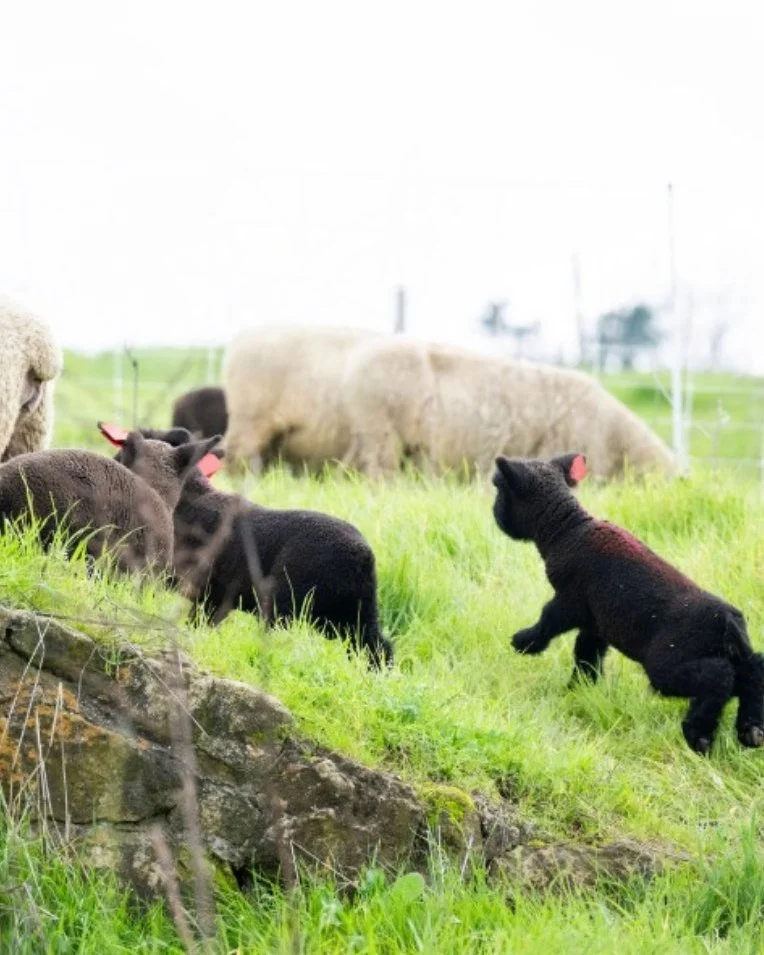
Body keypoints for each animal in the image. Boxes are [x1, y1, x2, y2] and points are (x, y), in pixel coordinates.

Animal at [105, 425, 393, 668]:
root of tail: (362, 554)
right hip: (353, 614)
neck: (189, 500)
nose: (113, 464)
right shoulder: (214, 598)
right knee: (378, 647)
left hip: (287, 607)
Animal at [491, 451, 764, 754]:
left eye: (499, 488)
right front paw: (578, 690)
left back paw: (699, 737)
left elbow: (548, 619)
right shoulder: (595, 621)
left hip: (667, 663)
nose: (494, 514)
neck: (566, 530)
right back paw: (751, 731)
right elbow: (586, 654)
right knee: (753, 670)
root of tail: (728, 620)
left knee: (720, 677)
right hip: (729, 654)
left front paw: (523, 642)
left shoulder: (571, 600)